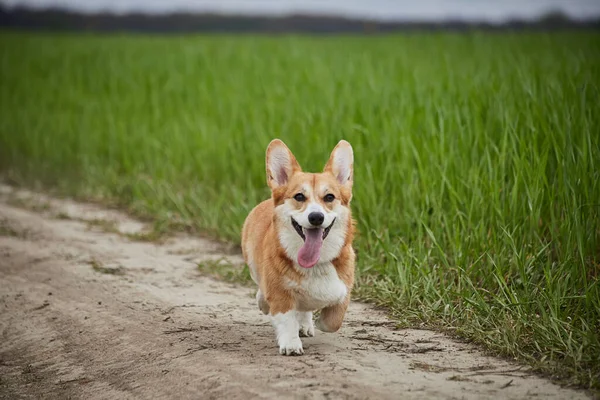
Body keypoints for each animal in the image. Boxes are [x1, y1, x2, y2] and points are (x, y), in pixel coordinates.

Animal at [241, 139, 356, 354]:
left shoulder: (343, 289)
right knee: (262, 289)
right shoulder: (280, 292)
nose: (316, 217)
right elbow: (286, 319)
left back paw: (305, 324)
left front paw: (318, 323)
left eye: (329, 197)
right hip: (252, 263)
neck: (316, 264)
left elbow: (333, 321)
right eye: (299, 197)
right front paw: (291, 344)